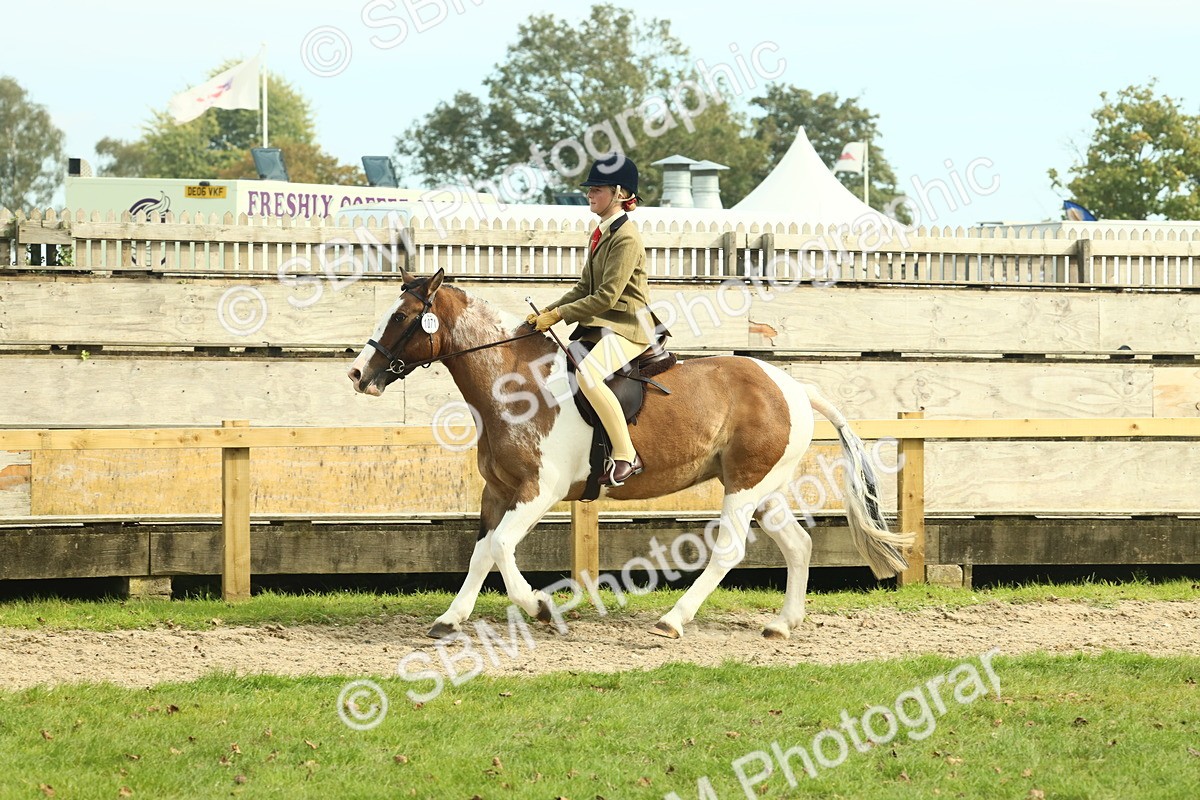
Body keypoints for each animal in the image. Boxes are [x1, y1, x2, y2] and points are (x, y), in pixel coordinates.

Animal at [347, 268, 913, 640]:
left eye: (401, 315)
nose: (356, 374)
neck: (512, 383)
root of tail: (792, 385)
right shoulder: (499, 491)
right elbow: (483, 551)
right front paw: (450, 619)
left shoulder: (537, 493)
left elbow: (503, 548)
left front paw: (542, 609)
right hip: (762, 488)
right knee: (797, 545)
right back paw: (782, 623)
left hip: (745, 488)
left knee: (730, 551)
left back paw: (674, 620)